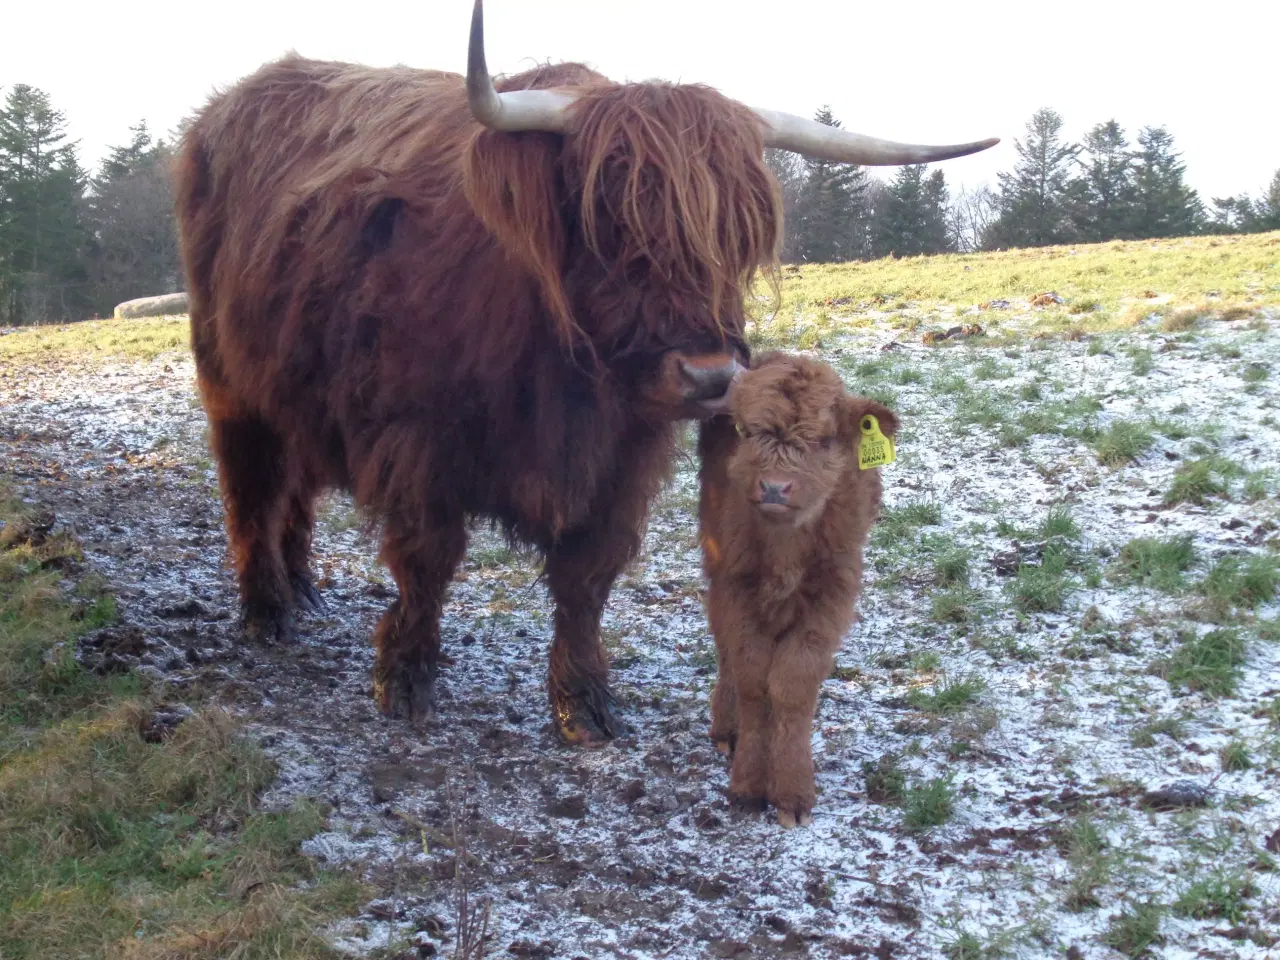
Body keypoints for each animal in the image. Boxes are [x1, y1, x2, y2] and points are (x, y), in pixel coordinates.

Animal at [170, 0, 988, 742]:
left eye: (739, 233)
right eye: (612, 219)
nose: (709, 376)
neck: (563, 377)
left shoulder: (623, 460)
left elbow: (587, 578)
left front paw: (585, 704)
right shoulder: (418, 445)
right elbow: (427, 561)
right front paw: (403, 679)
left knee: (295, 485)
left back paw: (304, 588)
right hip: (231, 384)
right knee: (252, 487)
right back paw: (268, 612)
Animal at [701, 353, 901, 829]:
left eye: (824, 439)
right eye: (746, 431)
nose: (775, 487)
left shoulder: (832, 596)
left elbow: (793, 684)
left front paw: (793, 792)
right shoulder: (734, 586)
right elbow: (752, 678)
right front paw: (748, 787)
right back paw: (726, 729)